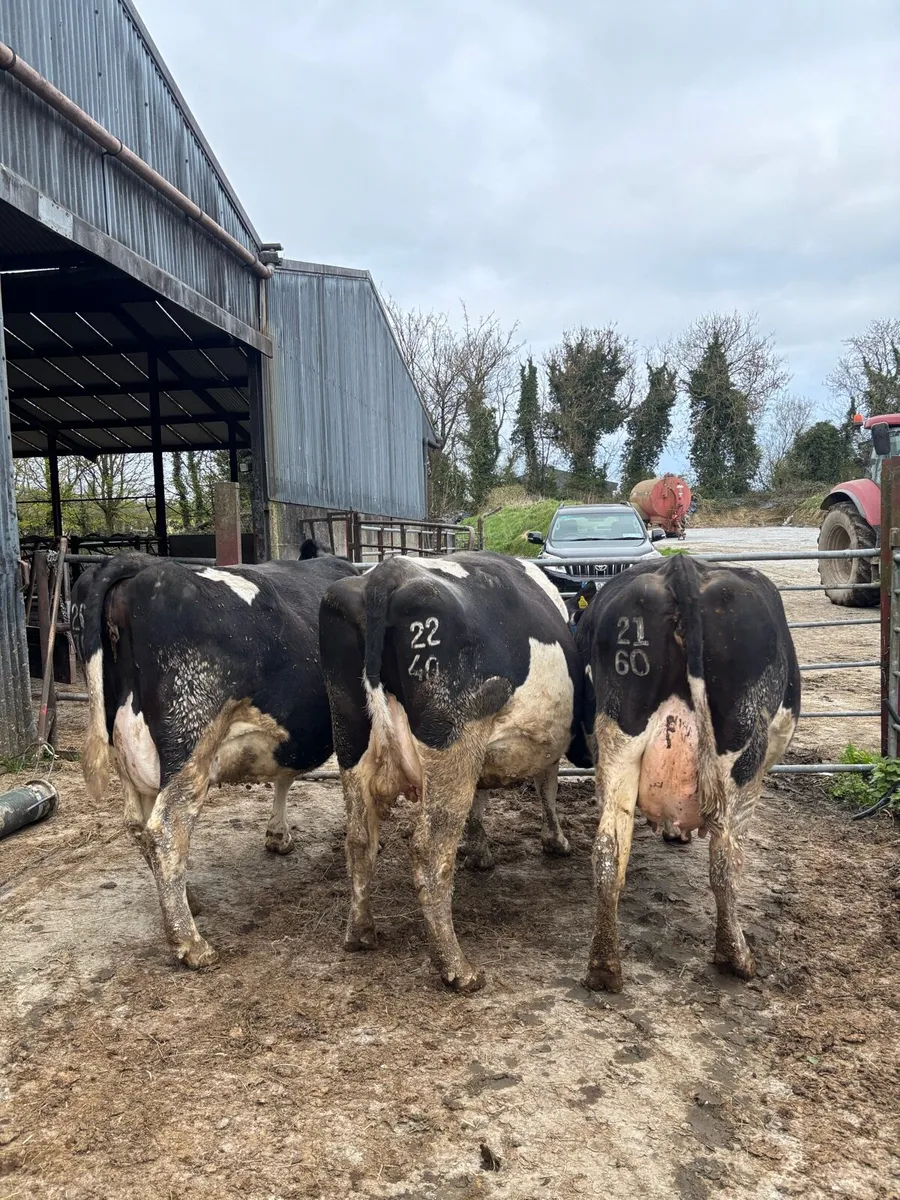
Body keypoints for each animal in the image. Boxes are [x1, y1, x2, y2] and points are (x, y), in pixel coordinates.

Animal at [71, 540, 357, 968]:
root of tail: (138, 564)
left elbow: (285, 775)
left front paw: (278, 834)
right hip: (191, 738)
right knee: (166, 827)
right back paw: (191, 943)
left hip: (130, 752)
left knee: (140, 826)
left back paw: (186, 900)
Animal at [319, 551, 591, 993]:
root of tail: (384, 575)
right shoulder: (541, 745)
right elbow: (547, 787)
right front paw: (557, 841)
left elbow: (481, 798)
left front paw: (479, 851)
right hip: (454, 737)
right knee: (429, 851)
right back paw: (457, 968)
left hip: (349, 735)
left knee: (359, 837)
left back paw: (360, 934)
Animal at [573, 552, 800, 992]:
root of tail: (681, 568)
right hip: (741, 749)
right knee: (725, 859)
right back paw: (735, 957)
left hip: (618, 736)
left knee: (608, 849)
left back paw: (604, 967)